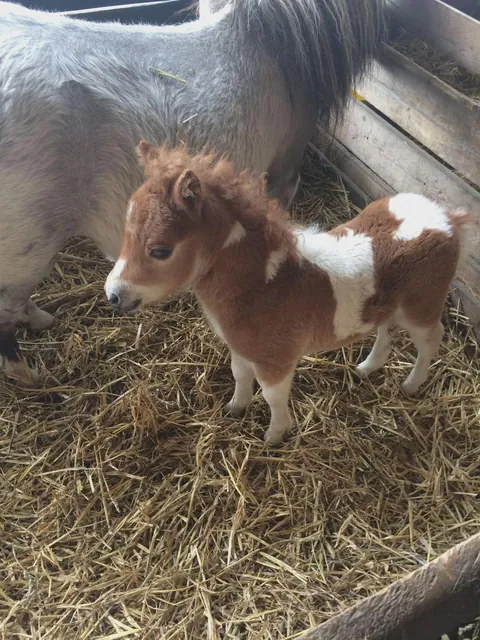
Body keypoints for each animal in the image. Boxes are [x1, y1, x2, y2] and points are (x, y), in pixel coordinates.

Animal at [105, 142, 473, 444]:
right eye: (125, 233)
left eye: (160, 251)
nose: (113, 295)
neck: (264, 285)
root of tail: (447, 218)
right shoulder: (240, 347)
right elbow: (239, 376)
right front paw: (234, 408)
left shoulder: (276, 359)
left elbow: (273, 397)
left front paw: (274, 436)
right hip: (388, 304)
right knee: (385, 330)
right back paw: (366, 368)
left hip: (422, 306)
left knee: (431, 339)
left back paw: (411, 385)